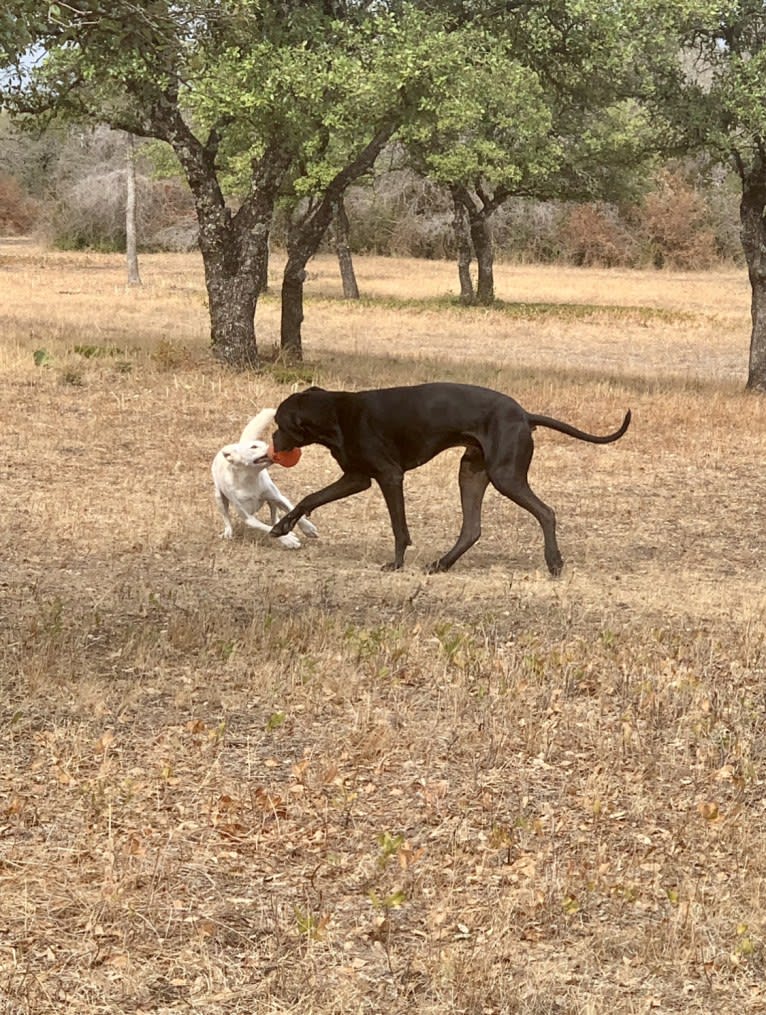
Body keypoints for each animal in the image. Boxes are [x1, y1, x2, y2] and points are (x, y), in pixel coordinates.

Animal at [211, 406, 318, 552]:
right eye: (254, 447)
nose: (276, 445)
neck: (250, 479)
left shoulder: (278, 497)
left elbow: (291, 510)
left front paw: (308, 529)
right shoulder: (248, 517)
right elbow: (266, 528)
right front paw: (288, 540)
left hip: (271, 499)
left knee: (274, 516)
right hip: (219, 498)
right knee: (226, 517)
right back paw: (228, 532)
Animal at [271, 381, 633, 572]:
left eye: (280, 423)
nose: (273, 440)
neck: (335, 414)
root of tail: (524, 415)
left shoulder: (389, 476)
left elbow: (399, 527)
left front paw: (396, 563)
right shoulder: (356, 478)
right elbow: (311, 497)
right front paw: (282, 526)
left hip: (505, 476)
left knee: (546, 512)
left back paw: (554, 562)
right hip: (471, 473)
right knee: (472, 528)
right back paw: (443, 563)